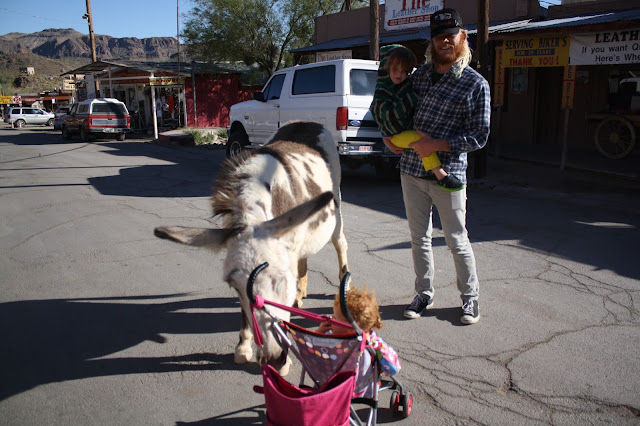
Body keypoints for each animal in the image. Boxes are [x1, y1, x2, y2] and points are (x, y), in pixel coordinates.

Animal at [154, 121, 349, 375]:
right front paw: (243, 349)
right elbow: (245, 312)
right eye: (234, 286)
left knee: (340, 243)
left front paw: (285, 360)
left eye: (282, 280)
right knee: (304, 257)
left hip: (336, 208)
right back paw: (300, 294)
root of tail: (307, 123)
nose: (274, 358)